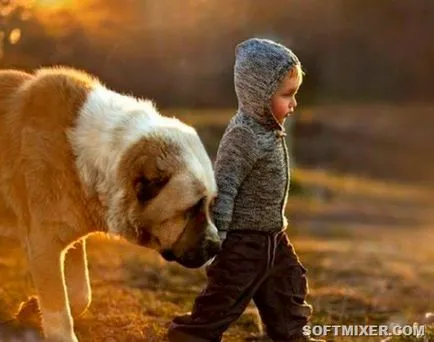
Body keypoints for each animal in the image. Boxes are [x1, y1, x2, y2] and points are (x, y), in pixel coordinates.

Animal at [0, 65, 219, 340]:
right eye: (190, 210)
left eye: (210, 205)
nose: (217, 246)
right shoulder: (43, 243)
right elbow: (58, 310)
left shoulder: (67, 238)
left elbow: (80, 294)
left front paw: (32, 308)